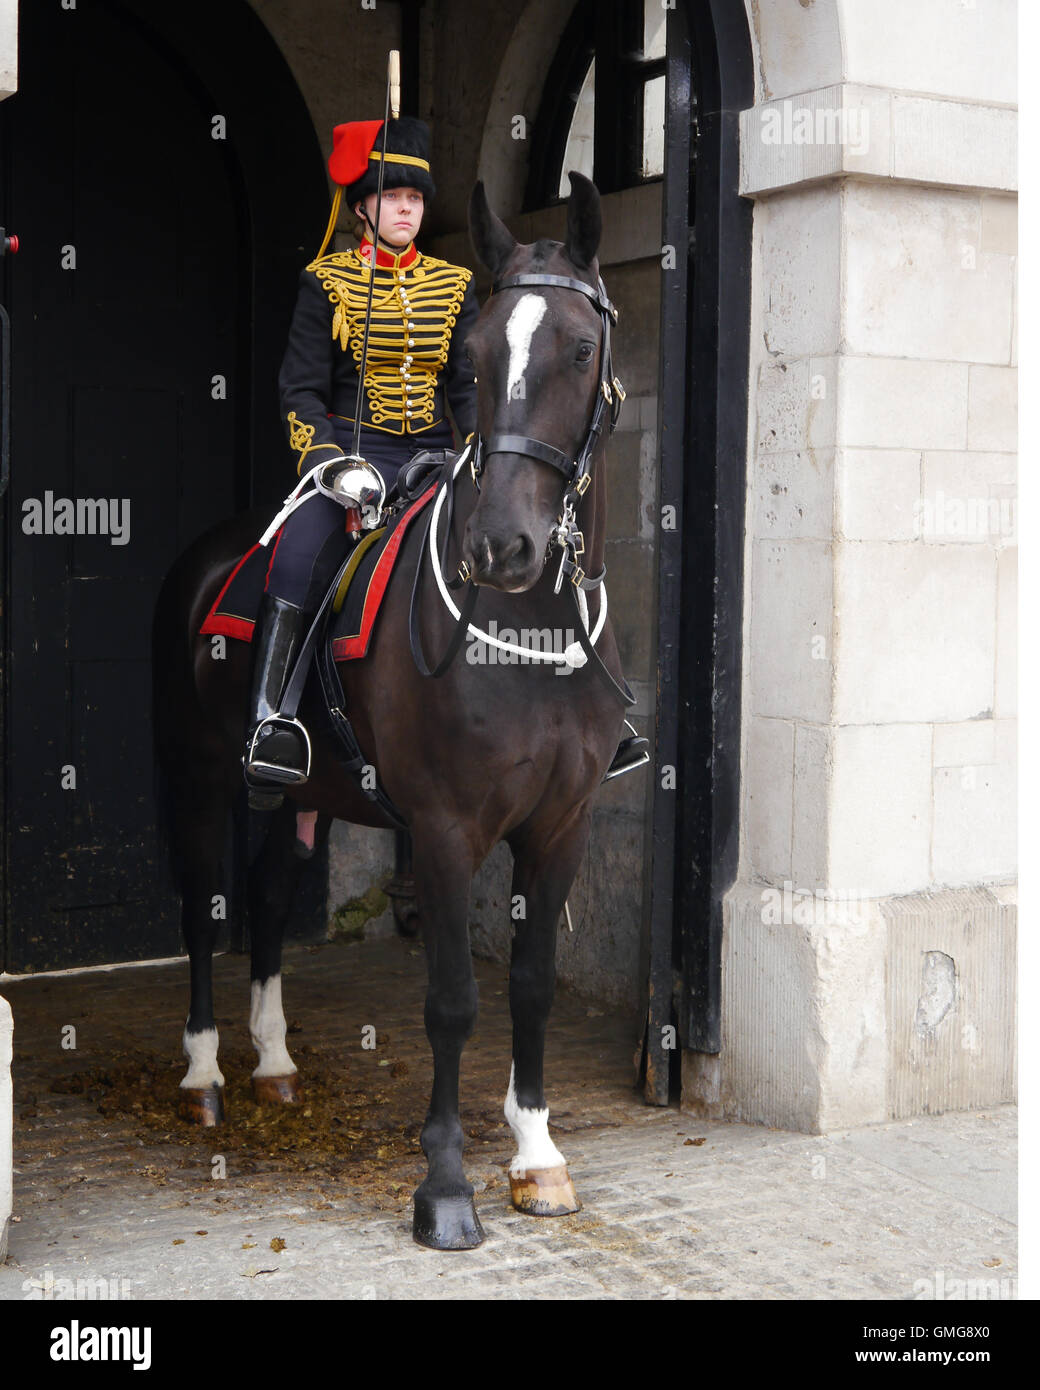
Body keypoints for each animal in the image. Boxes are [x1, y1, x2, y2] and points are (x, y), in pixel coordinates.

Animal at [150, 173, 628, 1251]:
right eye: (477, 352)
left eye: (581, 349)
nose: (503, 547)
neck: (522, 624)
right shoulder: (446, 830)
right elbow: (451, 1000)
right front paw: (444, 1186)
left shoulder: (562, 824)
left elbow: (530, 982)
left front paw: (536, 1154)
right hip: (194, 773)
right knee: (204, 905)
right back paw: (203, 1076)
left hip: (305, 791)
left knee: (269, 893)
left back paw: (275, 1065)